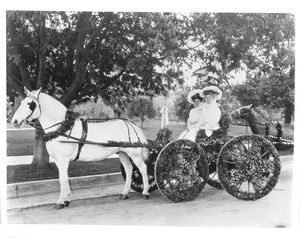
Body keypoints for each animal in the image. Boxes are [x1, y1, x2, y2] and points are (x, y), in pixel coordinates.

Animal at [11, 87, 150, 208]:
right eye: (21, 102)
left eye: (30, 103)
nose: (14, 121)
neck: (62, 128)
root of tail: (132, 125)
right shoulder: (58, 160)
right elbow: (65, 178)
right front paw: (66, 200)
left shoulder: (63, 159)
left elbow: (62, 179)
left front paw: (60, 202)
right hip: (122, 153)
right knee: (129, 170)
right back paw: (124, 193)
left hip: (134, 154)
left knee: (143, 168)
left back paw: (146, 192)